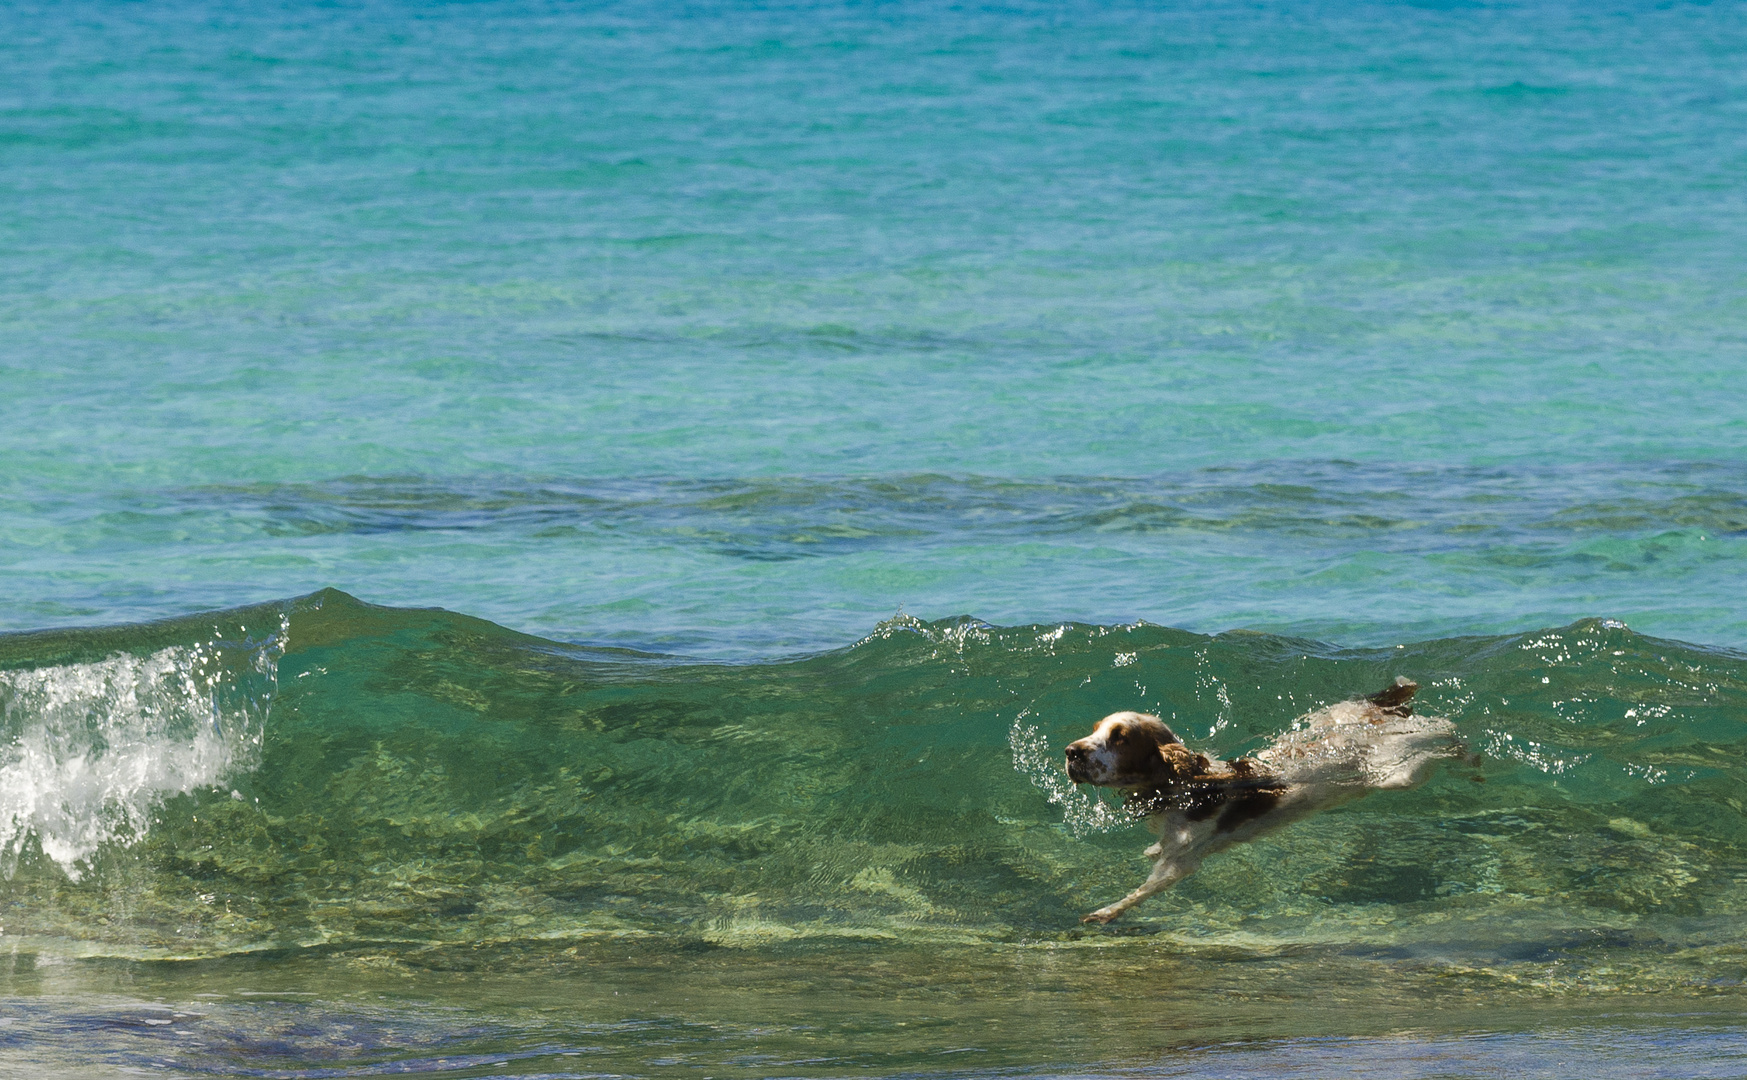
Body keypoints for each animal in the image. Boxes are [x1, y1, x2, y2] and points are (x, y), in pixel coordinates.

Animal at [1062, 678, 1460, 922]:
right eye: (1096, 729)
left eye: (1120, 737)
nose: (1071, 752)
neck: (1179, 787)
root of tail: (1380, 708)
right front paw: (1150, 849)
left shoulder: (1181, 864)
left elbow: (1142, 890)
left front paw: (1106, 912)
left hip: (1397, 773)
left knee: (1443, 734)